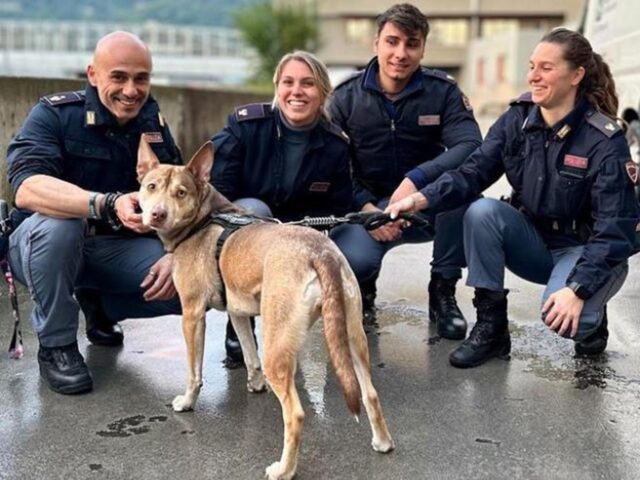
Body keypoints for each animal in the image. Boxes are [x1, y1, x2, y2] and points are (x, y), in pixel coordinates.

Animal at [138, 137, 392, 478]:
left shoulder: (192, 315)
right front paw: (255, 384)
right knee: (370, 393)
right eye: (151, 186)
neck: (205, 217)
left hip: (279, 346)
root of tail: (319, 251)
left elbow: (194, 371)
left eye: (181, 192)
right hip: (351, 337)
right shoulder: (238, 313)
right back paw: (382, 442)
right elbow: (249, 353)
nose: (157, 215)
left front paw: (187, 401)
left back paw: (284, 469)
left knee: (295, 414)